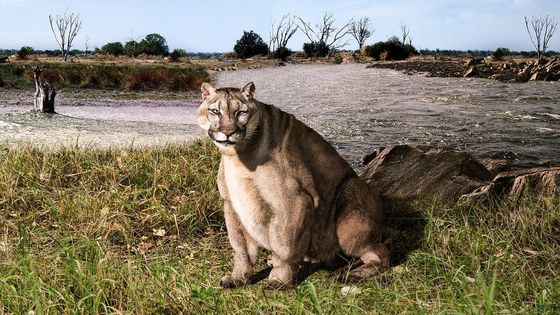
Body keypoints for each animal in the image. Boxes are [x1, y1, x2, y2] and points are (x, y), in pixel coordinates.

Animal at [198, 82, 390, 290]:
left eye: (241, 112)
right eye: (215, 111)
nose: (228, 132)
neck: (237, 155)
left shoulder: (293, 200)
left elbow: (284, 246)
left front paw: (279, 280)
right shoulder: (233, 204)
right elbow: (241, 248)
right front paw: (238, 277)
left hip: (349, 205)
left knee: (382, 253)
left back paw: (353, 274)